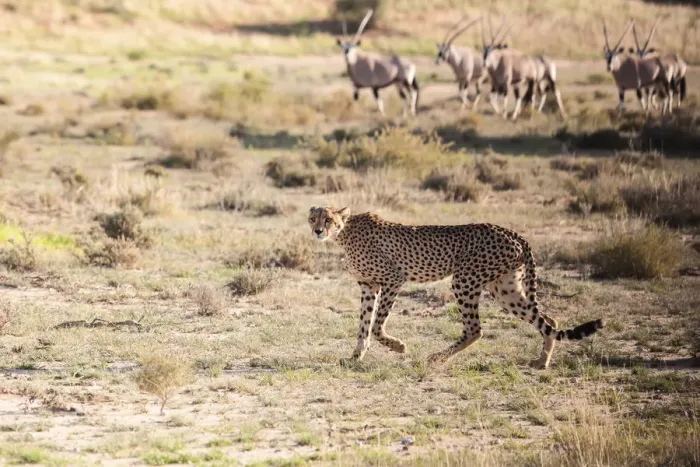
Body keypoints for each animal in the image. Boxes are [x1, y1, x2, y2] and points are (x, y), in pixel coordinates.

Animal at [308, 206, 604, 369]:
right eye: (314, 219)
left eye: (329, 220)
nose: (318, 232)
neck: (345, 232)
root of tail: (512, 232)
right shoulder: (368, 286)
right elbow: (364, 325)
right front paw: (356, 357)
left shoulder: (393, 279)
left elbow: (378, 325)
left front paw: (398, 347)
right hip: (504, 289)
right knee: (549, 321)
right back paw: (542, 362)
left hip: (464, 279)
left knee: (475, 330)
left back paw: (437, 358)